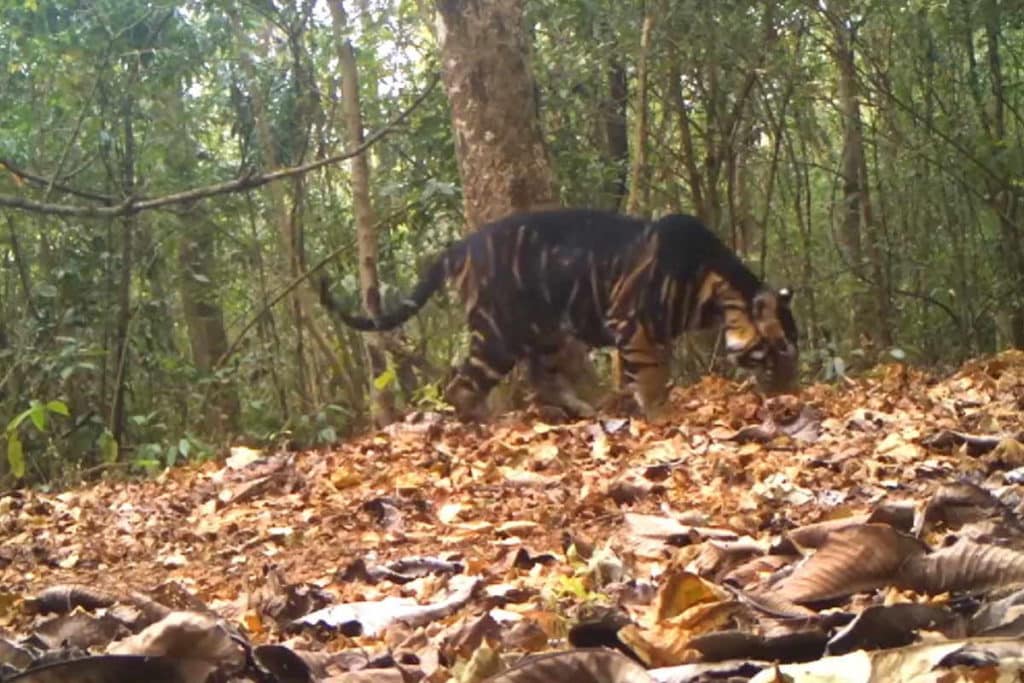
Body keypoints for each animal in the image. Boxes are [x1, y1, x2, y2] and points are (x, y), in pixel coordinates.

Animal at [319, 208, 799, 422]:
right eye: (777, 350)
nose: (790, 395)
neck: (717, 290)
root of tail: (456, 248)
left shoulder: (644, 334)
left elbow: (637, 374)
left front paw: (632, 406)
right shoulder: (632, 324)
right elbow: (651, 376)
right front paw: (662, 416)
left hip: (544, 330)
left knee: (540, 378)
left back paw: (581, 410)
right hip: (499, 333)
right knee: (460, 383)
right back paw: (490, 423)